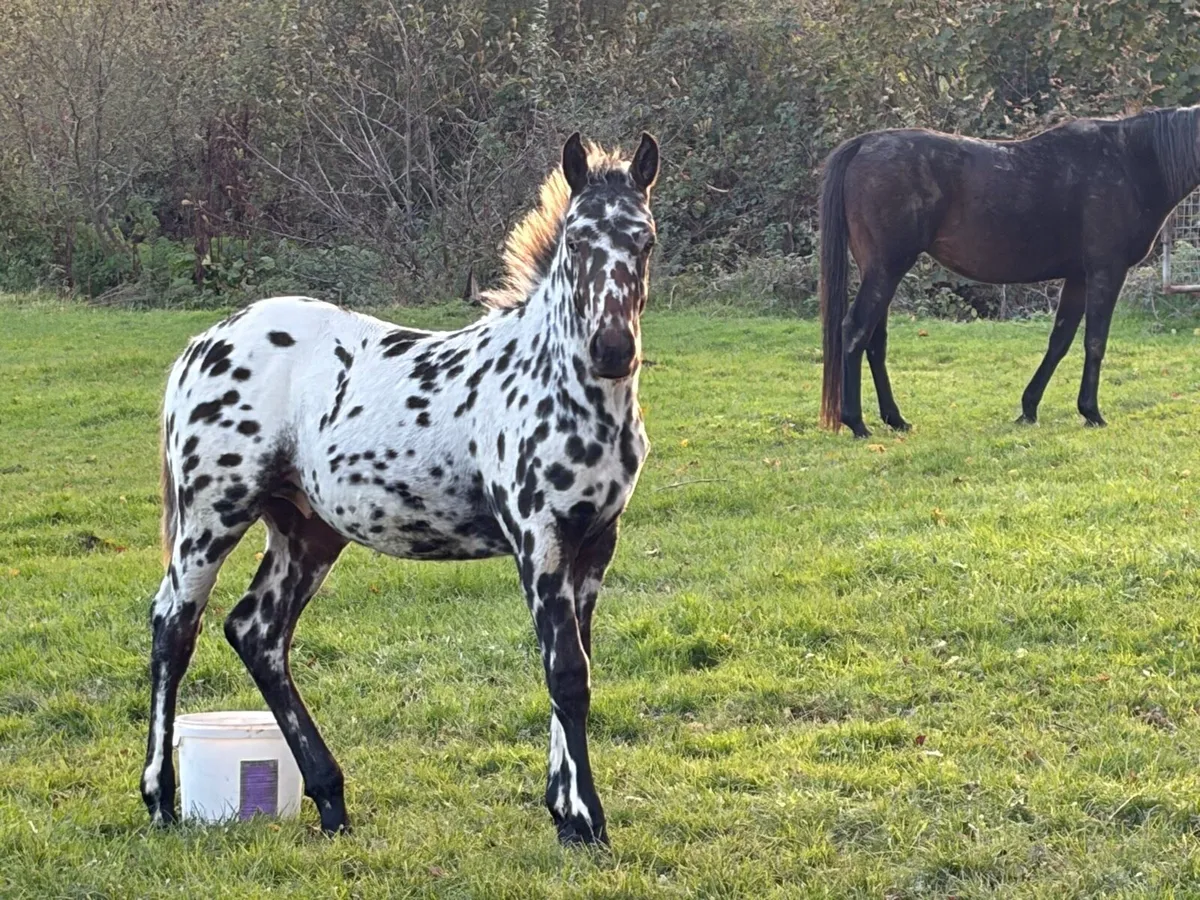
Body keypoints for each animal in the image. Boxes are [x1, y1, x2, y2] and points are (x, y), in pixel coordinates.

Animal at [139, 131, 660, 847]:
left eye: (647, 241)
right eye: (577, 241)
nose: (612, 350)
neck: (561, 387)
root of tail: (202, 343)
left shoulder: (594, 543)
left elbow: (575, 669)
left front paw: (564, 809)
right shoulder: (539, 541)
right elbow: (567, 676)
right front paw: (585, 820)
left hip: (306, 531)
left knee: (257, 633)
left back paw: (330, 800)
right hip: (212, 513)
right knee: (173, 626)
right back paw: (160, 799)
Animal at [818, 106, 1200, 438]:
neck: (1130, 161)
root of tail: (864, 145)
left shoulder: (1078, 277)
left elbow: (1059, 341)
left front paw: (1029, 409)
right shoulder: (1106, 270)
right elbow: (1095, 341)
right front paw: (1092, 413)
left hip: (882, 271)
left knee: (875, 341)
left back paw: (895, 419)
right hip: (886, 269)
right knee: (855, 331)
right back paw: (856, 423)